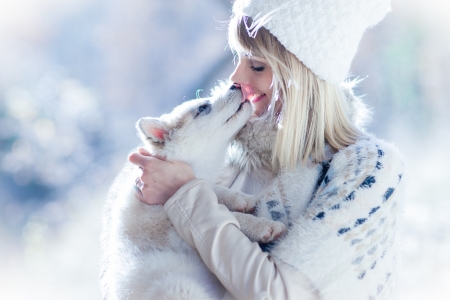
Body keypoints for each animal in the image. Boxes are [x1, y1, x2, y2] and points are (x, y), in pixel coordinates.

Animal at [101, 84, 284, 300]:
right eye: (202, 108)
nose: (235, 85)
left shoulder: (198, 181)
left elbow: (213, 189)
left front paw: (241, 199)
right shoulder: (173, 229)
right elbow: (232, 216)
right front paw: (264, 225)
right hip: (182, 288)